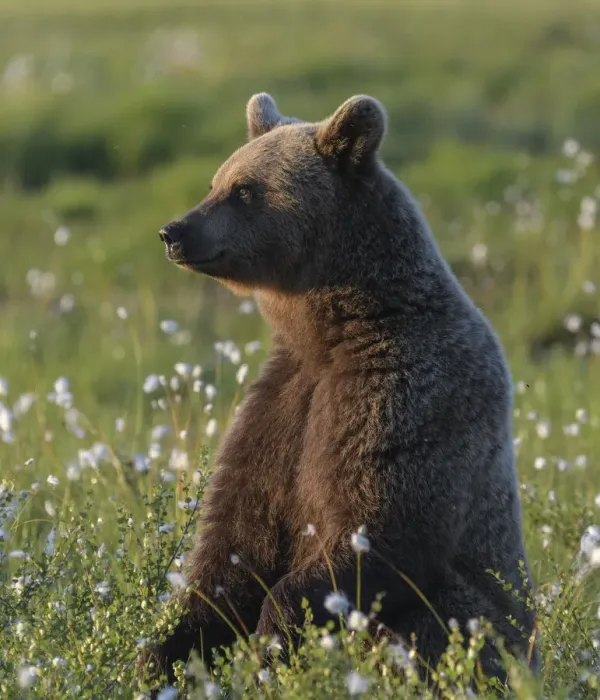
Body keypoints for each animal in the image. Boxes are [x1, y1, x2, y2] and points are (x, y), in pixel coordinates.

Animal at [140, 92, 540, 689]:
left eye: (244, 190)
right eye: (217, 181)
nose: (175, 232)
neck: (330, 333)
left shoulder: (404, 391)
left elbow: (376, 527)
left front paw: (271, 645)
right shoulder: (284, 406)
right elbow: (237, 540)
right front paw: (161, 652)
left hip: (495, 628)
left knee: (437, 616)